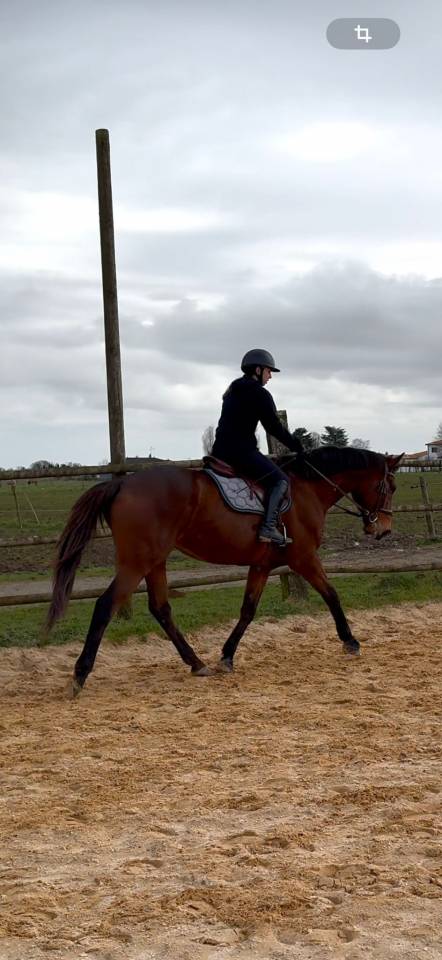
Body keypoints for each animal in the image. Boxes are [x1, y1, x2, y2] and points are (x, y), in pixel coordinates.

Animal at [45, 446, 403, 695]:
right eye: (391, 486)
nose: (384, 529)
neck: (306, 488)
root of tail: (120, 483)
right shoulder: (304, 558)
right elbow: (331, 594)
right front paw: (350, 641)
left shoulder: (261, 565)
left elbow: (247, 611)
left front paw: (226, 657)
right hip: (138, 562)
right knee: (106, 605)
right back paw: (79, 675)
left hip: (155, 561)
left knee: (160, 608)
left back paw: (196, 664)